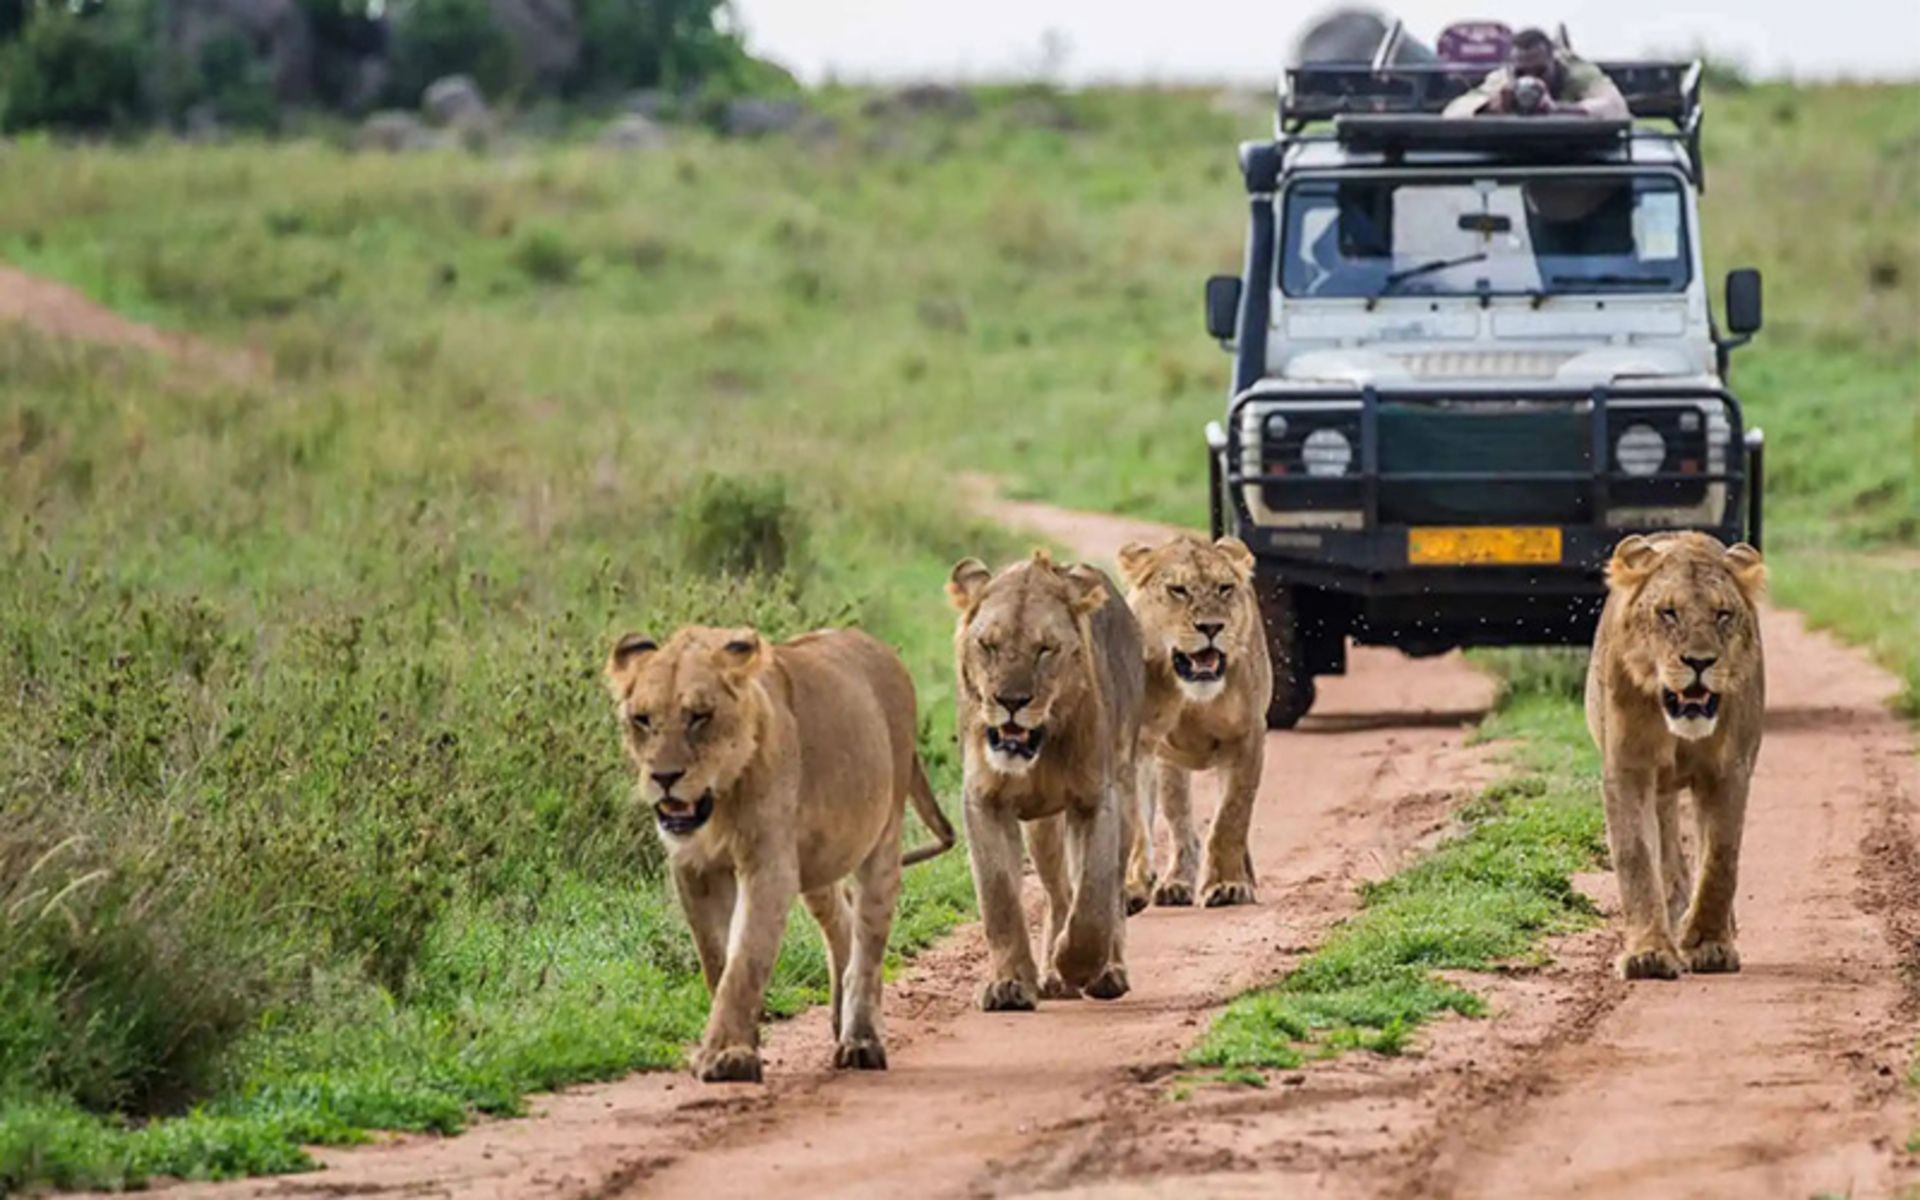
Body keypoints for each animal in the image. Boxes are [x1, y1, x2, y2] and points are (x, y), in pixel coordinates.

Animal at [605, 625, 955, 1082]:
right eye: (642, 719)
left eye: (700, 716)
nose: (664, 777)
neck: (721, 800)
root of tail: (879, 647)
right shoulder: (692, 868)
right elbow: (716, 959)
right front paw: (743, 1045)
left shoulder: (769, 865)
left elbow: (746, 960)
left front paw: (726, 1055)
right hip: (818, 861)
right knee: (841, 923)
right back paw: (843, 1022)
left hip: (882, 838)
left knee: (867, 946)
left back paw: (861, 1040)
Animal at [947, 550, 1146, 1010]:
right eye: (989, 645)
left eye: (1044, 650)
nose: (1010, 701)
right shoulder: (984, 801)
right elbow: (999, 898)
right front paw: (1011, 984)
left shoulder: (1096, 800)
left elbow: (1093, 899)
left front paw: (1077, 964)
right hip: (1043, 828)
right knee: (1058, 892)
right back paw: (1053, 978)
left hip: (1125, 795)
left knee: (1109, 893)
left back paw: (1105, 972)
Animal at [1116, 534, 1273, 911]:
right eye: (1178, 590)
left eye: (1224, 588)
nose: (1212, 627)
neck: (1187, 693)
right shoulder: (1138, 745)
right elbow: (1137, 820)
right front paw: (1133, 886)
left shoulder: (1247, 738)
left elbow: (1230, 818)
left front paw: (1228, 885)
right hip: (1169, 767)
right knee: (1180, 825)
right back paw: (1175, 884)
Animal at [1586, 531, 1766, 981]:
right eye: (1668, 613)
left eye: (1722, 614)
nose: (1699, 662)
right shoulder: (1627, 770)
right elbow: (1635, 857)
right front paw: (1649, 952)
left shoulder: (1728, 772)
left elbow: (1720, 859)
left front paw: (1709, 944)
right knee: (1665, 845)